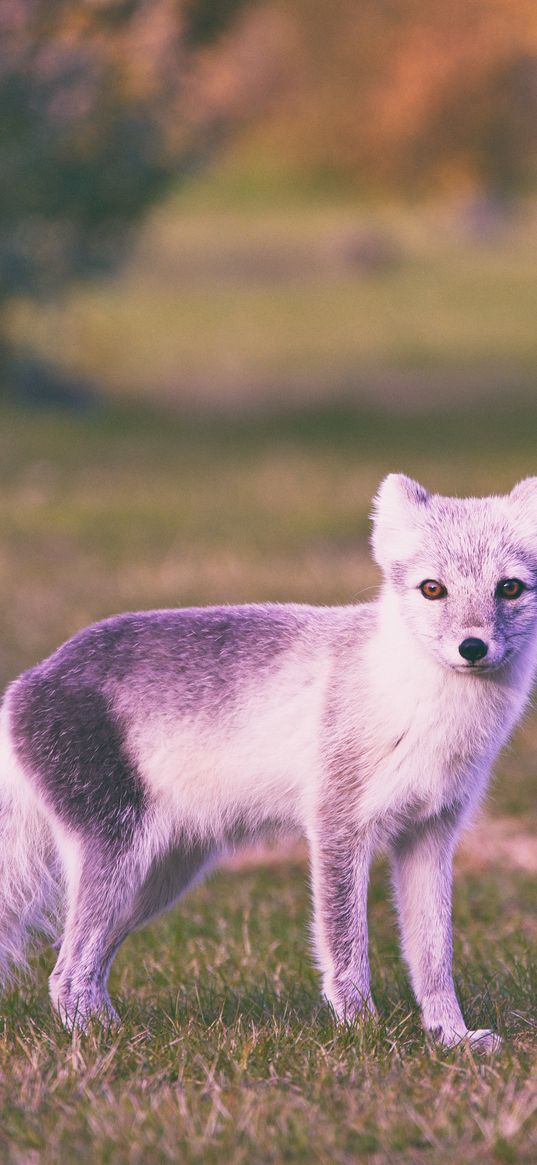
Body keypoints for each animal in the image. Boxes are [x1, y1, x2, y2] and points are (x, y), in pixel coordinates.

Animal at [1, 472, 535, 1048]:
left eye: (510, 588)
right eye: (432, 589)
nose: (473, 648)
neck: (424, 708)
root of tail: (25, 684)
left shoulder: (432, 833)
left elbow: (435, 957)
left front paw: (452, 1039)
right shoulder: (337, 826)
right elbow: (346, 948)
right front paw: (365, 1035)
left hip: (160, 878)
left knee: (82, 964)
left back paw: (116, 1033)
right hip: (119, 858)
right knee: (67, 971)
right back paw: (98, 1041)